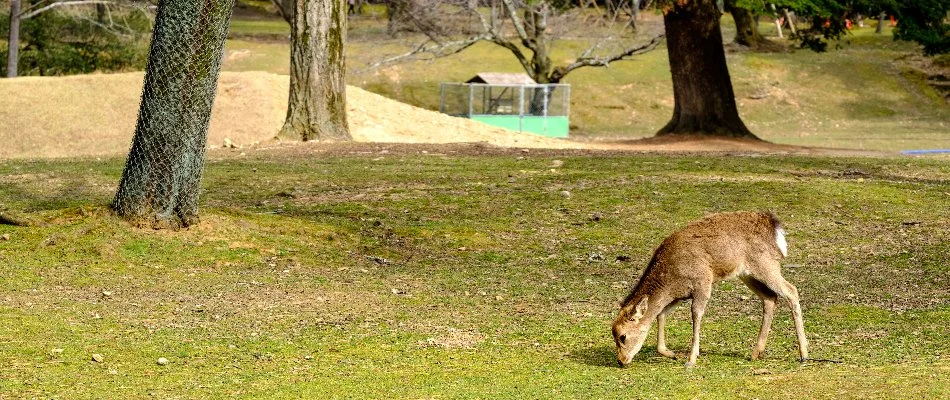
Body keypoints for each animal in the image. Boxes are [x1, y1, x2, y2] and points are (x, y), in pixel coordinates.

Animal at [611, 211, 808, 368]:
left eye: (623, 336)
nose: (621, 361)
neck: (670, 281)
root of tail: (775, 226)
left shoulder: (703, 282)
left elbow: (696, 314)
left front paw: (691, 359)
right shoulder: (678, 295)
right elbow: (660, 314)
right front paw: (670, 353)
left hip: (766, 264)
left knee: (791, 290)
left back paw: (804, 354)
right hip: (747, 274)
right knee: (769, 297)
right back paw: (756, 352)